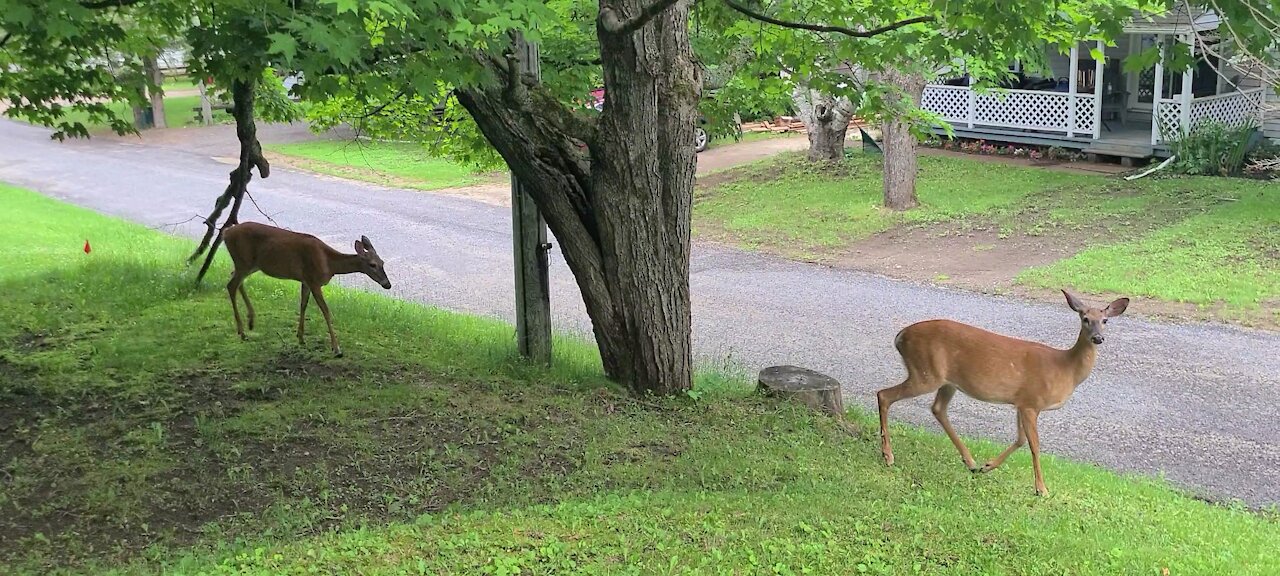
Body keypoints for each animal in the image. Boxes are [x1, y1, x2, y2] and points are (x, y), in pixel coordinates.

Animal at [222, 221, 389, 355]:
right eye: (372, 264)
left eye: (383, 262)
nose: (388, 284)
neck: (329, 263)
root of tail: (226, 233)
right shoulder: (314, 280)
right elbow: (326, 311)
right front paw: (336, 348)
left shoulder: (306, 280)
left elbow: (303, 305)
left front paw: (301, 337)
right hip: (243, 260)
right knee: (231, 285)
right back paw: (242, 332)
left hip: (250, 264)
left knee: (235, 279)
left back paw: (250, 321)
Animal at [880, 290, 1131, 496]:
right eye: (1085, 318)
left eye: (1105, 320)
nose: (1098, 338)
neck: (1065, 368)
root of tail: (900, 335)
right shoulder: (1032, 401)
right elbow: (1034, 445)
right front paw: (1041, 489)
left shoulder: (1021, 401)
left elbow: (1020, 440)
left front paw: (988, 466)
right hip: (925, 372)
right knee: (884, 395)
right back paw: (888, 455)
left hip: (945, 381)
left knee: (937, 408)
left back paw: (971, 462)